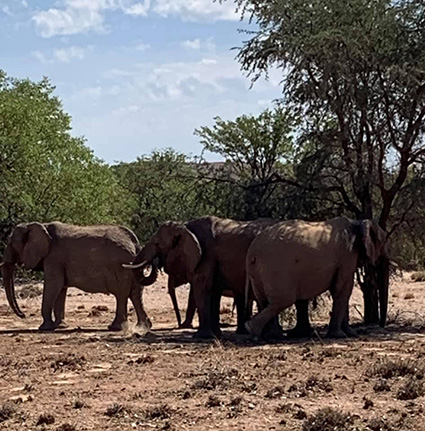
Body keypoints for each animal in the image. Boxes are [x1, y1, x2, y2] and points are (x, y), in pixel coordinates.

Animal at [0, 223, 156, 330]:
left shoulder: (54, 260)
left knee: (122, 295)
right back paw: (144, 326)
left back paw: (116, 328)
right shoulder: (58, 263)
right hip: (133, 267)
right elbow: (60, 289)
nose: (23, 315)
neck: (42, 225)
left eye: (11, 244)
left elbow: (53, 285)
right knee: (135, 294)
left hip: (121, 267)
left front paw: (44, 328)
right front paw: (60, 326)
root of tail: (135, 244)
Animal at [243, 218, 386, 340]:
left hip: (257, 271)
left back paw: (268, 335)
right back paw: (252, 329)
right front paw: (340, 336)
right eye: (382, 243)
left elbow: (341, 290)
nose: (381, 325)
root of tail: (251, 251)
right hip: (275, 268)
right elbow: (342, 290)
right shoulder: (347, 256)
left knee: (264, 301)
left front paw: (349, 334)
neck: (357, 223)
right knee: (283, 300)